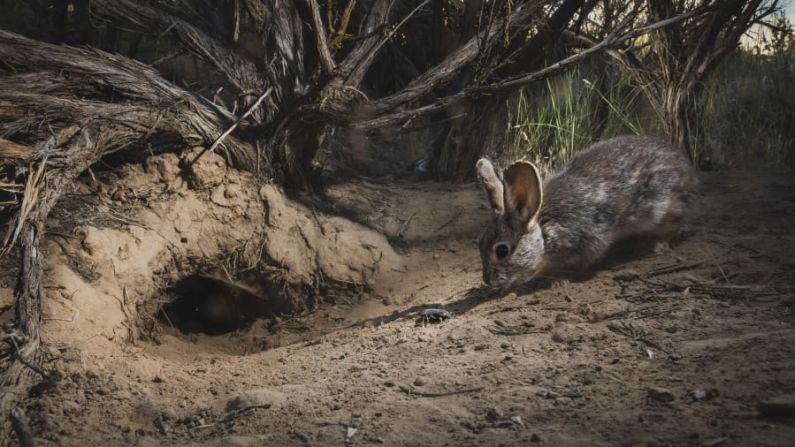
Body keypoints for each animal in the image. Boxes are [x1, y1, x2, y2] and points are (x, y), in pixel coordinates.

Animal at [478, 135, 696, 288]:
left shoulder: (588, 239)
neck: (544, 230)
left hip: (663, 208)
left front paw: (555, 280)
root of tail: (687, 169)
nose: (488, 280)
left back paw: (654, 245)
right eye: (479, 244)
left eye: (502, 251)